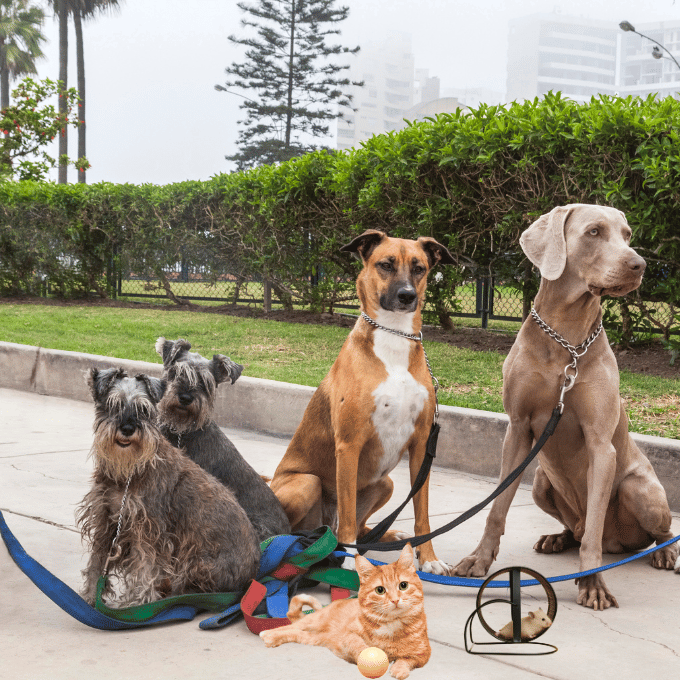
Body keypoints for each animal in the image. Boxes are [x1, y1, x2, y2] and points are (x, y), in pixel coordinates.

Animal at [77, 370, 260, 608]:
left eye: (144, 409)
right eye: (113, 404)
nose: (127, 429)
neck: (129, 472)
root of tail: (252, 575)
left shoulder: (148, 529)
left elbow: (145, 569)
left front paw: (139, 603)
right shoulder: (106, 519)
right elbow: (97, 562)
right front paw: (90, 596)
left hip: (196, 562)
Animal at [260, 540, 430, 680]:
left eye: (403, 585)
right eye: (380, 590)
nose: (395, 600)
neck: (391, 626)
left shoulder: (423, 654)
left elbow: (406, 660)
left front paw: (399, 669)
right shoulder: (348, 635)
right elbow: (358, 645)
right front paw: (368, 655)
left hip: (312, 638)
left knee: (295, 633)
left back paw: (273, 639)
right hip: (313, 622)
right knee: (289, 625)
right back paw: (268, 634)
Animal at [268, 228, 454, 572]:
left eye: (419, 268)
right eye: (385, 264)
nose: (407, 295)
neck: (394, 337)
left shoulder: (422, 446)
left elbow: (422, 514)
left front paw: (429, 558)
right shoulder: (349, 445)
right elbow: (348, 518)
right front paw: (348, 560)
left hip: (385, 483)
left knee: (362, 525)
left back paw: (386, 535)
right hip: (306, 483)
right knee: (308, 526)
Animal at [452, 203, 680, 612]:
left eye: (627, 234)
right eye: (594, 232)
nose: (639, 264)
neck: (567, 340)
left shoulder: (601, 445)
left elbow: (592, 533)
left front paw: (592, 584)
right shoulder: (518, 429)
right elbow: (497, 509)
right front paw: (479, 559)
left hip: (640, 489)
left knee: (652, 530)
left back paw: (663, 552)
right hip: (542, 480)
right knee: (575, 529)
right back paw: (557, 537)